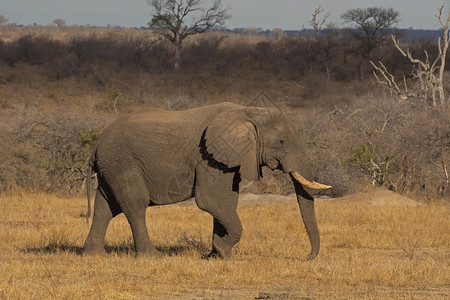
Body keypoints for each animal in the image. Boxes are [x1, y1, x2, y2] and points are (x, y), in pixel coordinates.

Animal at [84, 102, 330, 258]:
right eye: (281, 142)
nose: (307, 256)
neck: (247, 112)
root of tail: (96, 147)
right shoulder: (208, 158)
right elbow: (211, 201)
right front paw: (221, 251)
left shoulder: (226, 160)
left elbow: (227, 201)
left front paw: (216, 253)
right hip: (124, 165)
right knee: (135, 206)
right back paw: (152, 256)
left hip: (111, 168)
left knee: (105, 208)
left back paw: (94, 255)